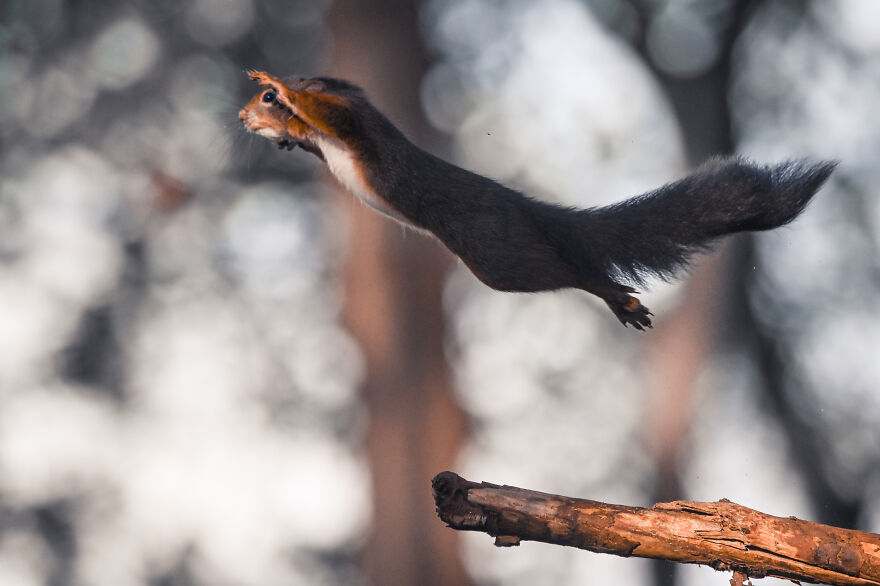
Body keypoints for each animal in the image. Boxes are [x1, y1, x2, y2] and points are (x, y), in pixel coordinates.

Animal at [237, 69, 836, 328]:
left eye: (264, 97)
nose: (241, 117)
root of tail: (526, 208)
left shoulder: (353, 125)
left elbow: (328, 113)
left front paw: (285, 89)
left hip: (500, 257)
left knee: (568, 271)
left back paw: (620, 300)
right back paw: (622, 304)